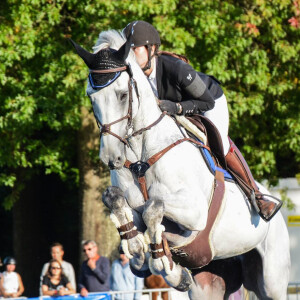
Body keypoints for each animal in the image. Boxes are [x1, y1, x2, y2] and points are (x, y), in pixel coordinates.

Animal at [71, 30, 290, 300]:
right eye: (91, 97)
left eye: (122, 94)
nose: (111, 158)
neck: (141, 155)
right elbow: (117, 202)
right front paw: (141, 252)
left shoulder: (194, 212)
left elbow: (153, 207)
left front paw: (164, 263)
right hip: (210, 282)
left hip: (271, 281)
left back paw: (264, 204)